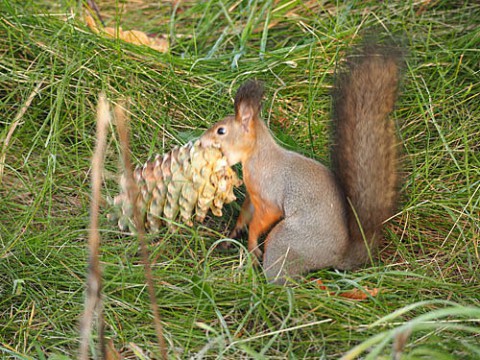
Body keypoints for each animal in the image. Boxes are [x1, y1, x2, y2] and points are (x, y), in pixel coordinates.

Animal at [199, 43, 402, 284]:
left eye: (221, 131)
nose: (200, 141)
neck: (258, 155)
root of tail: (340, 256)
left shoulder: (269, 195)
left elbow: (264, 217)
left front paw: (251, 243)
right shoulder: (254, 195)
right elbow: (247, 212)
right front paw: (236, 230)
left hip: (286, 241)